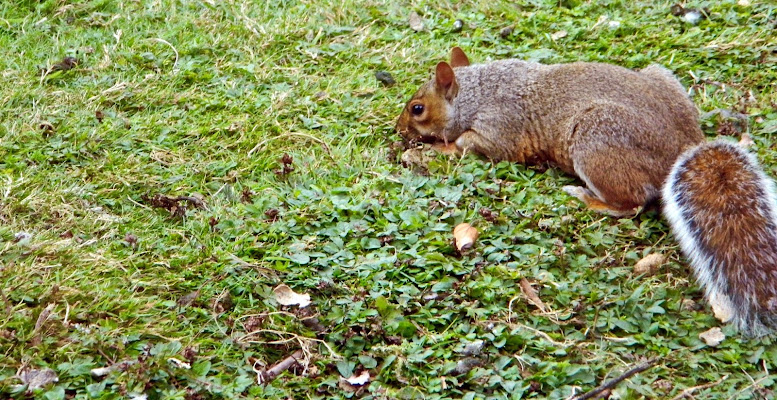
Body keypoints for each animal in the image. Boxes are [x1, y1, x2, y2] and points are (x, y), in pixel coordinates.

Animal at [398, 47, 776, 338]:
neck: (480, 91)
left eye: (417, 108)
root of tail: (684, 144)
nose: (399, 130)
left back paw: (584, 197)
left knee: (630, 203)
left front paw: (433, 149)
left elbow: (468, 145)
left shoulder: (499, 130)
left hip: (597, 142)